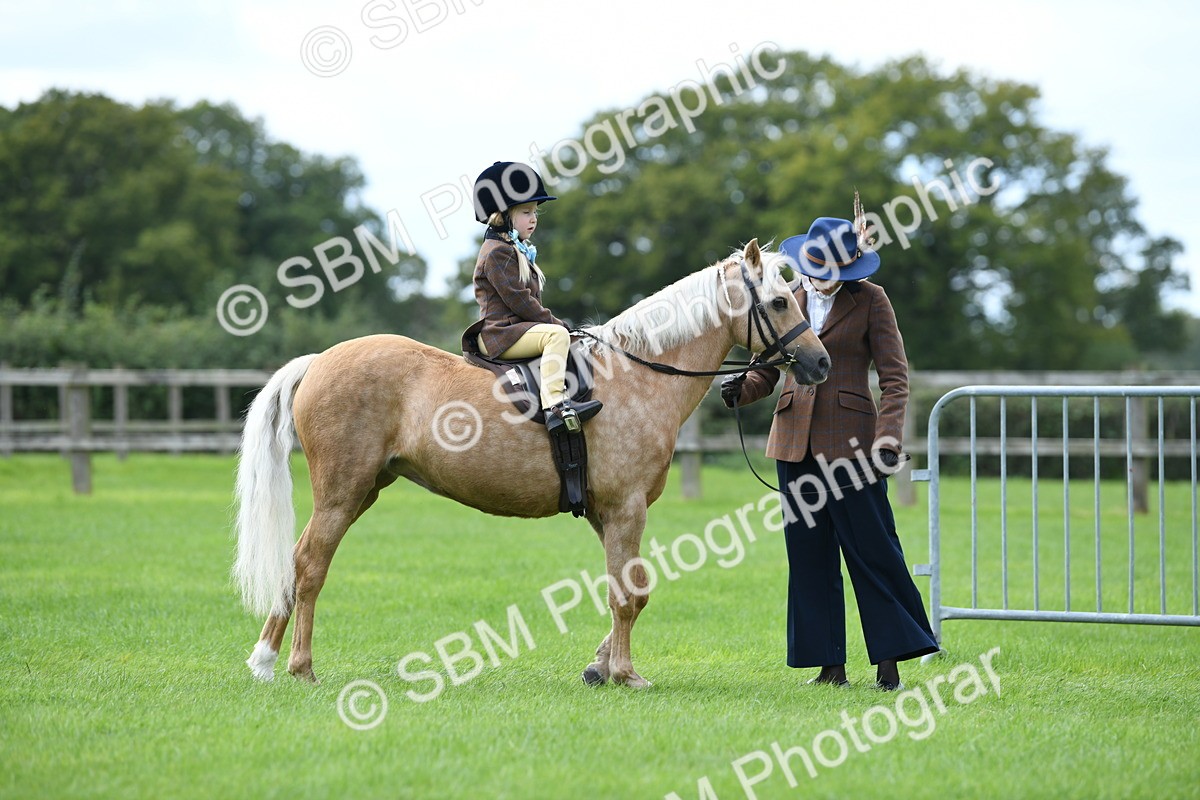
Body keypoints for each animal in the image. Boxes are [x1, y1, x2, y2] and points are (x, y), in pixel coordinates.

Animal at [233, 239, 830, 687]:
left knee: (296, 564)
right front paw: (626, 674)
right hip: (342, 492)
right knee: (309, 565)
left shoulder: (605, 512)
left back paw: (265, 659)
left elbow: (627, 589)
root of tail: (320, 361)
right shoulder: (627, 508)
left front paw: (600, 666)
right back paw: (297, 666)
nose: (820, 363)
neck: (637, 373)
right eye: (780, 302)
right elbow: (629, 593)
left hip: (364, 489)